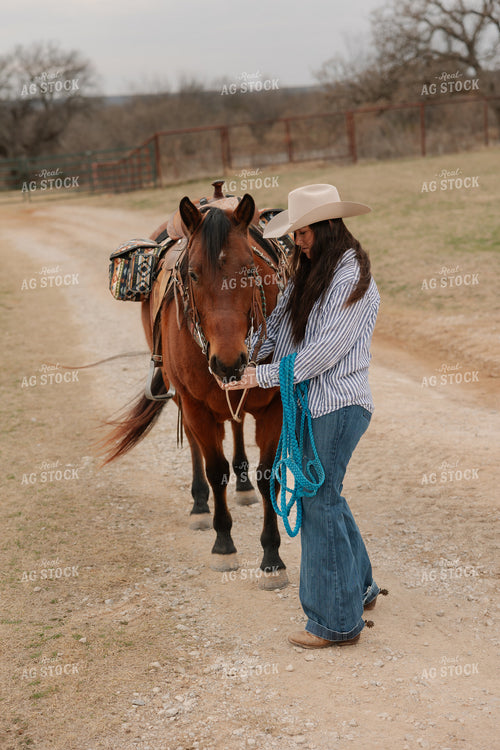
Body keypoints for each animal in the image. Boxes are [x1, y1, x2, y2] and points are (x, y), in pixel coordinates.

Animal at [103, 192, 289, 589]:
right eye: (192, 274)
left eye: (249, 270)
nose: (228, 361)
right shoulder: (196, 405)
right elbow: (215, 468)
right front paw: (224, 545)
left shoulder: (274, 405)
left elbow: (268, 476)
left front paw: (271, 557)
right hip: (184, 399)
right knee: (194, 444)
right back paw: (200, 504)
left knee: (235, 425)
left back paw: (243, 484)